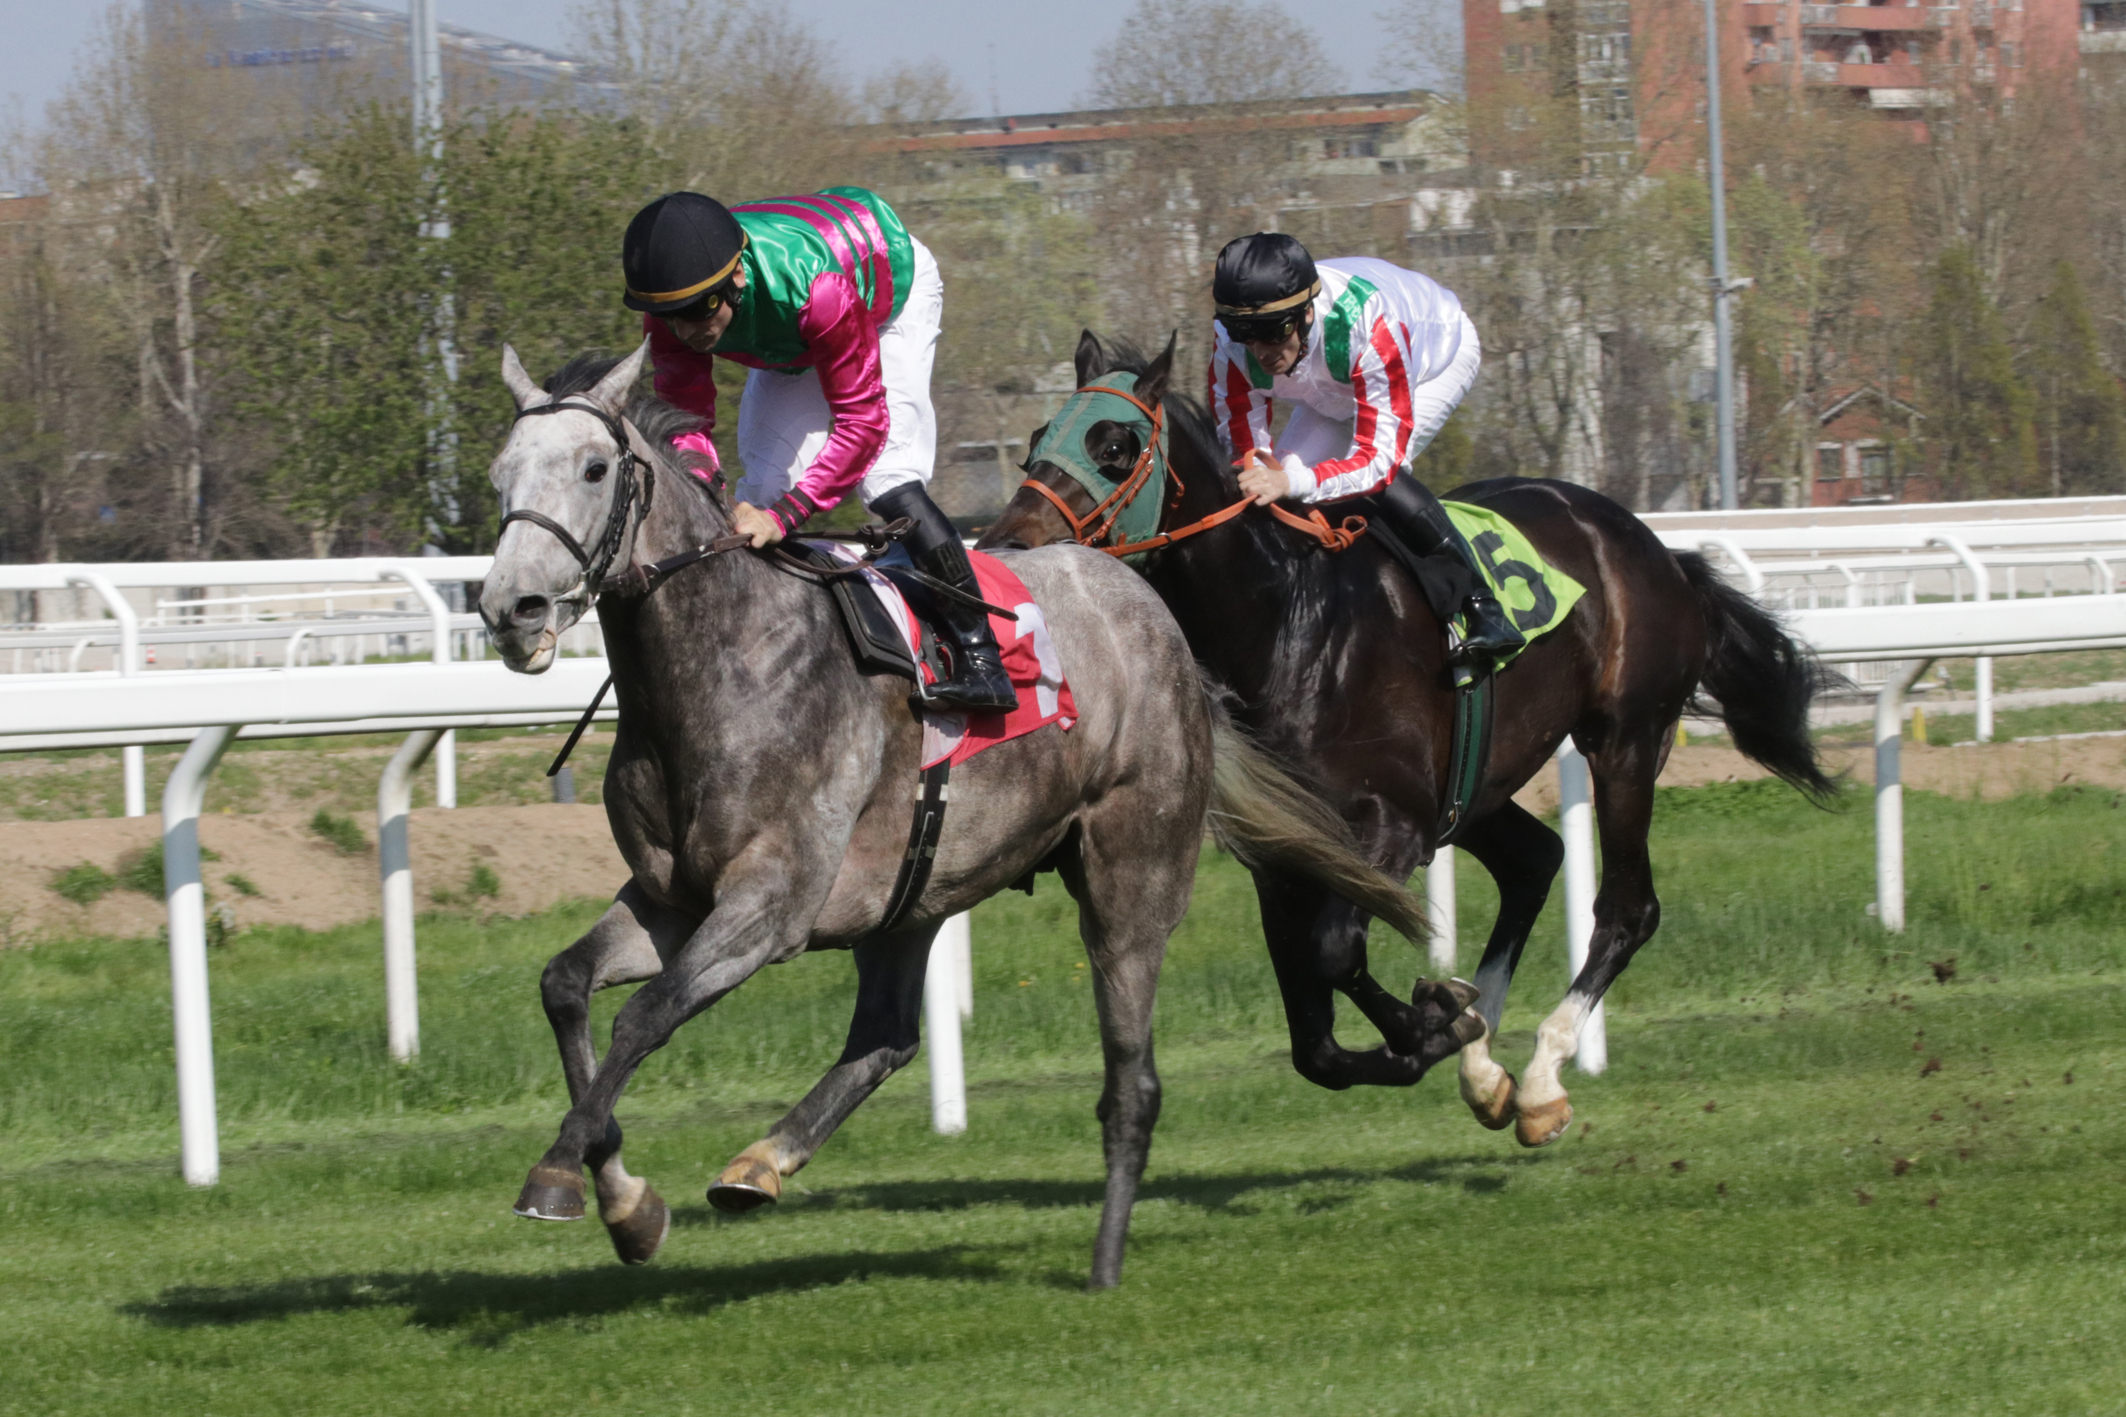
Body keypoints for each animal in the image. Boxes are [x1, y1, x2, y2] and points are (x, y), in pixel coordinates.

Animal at [482, 339, 1479, 1283]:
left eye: (594, 469)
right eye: (500, 472)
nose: (510, 608)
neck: (724, 661)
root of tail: (1152, 611)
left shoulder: (769, 905)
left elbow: (643, 1016)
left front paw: (561, 1173)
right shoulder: (671, 898)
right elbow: (565, 984)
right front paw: (623, 1200)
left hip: (1131, 872)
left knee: (1133, 1078)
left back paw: (1105, 1262)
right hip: (917, 885)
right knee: (885, 1035)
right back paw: (762, 1160)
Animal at [973, 335, 1836, 1155]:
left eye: (1115, 445)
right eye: (1036, 440)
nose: (1007, 544)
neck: (1292, 625)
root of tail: (1660, 552)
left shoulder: (1391, 826)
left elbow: (1332, 953)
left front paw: (1439, 1021)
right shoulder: (1285, 852)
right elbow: (1315, 1042)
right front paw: (1451, 1027)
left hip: (1624, 739)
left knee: (1628, 906)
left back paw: (1541, 1079)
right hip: (1477, 782)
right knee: (1535, 860)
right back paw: (1489, 1064)